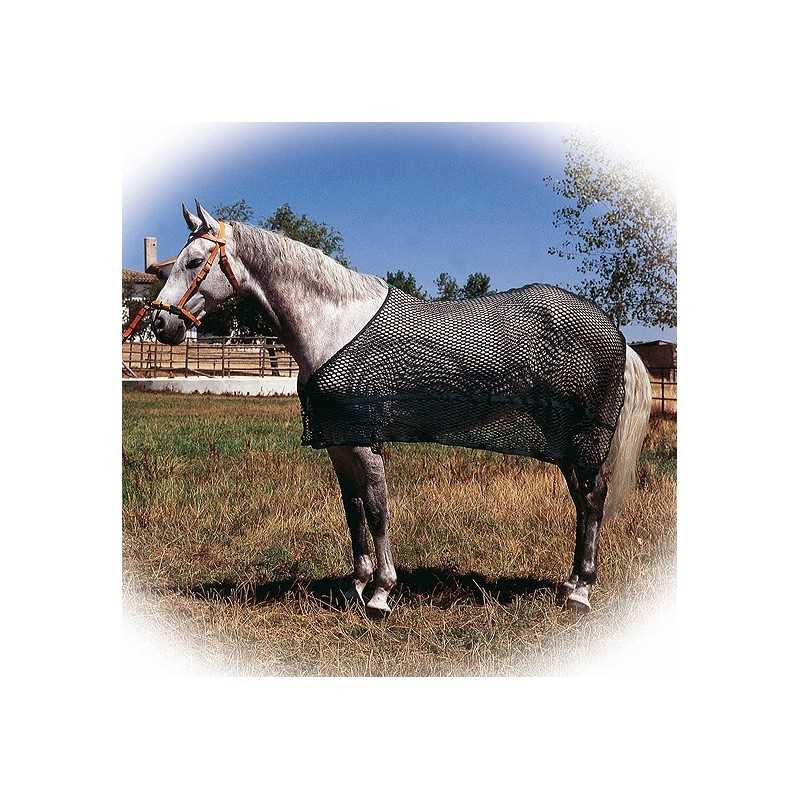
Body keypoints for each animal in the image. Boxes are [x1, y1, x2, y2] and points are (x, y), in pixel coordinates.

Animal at [150, 201, 651, 617]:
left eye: (193, 261)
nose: (160, 323)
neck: (334, 325)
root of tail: (615, 330)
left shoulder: (367, 444)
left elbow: (377, 510)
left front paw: (380, 594)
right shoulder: (340, 443)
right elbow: (352, 510)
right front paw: (356, 585)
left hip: (582, 441)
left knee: (592, 499)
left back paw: (582, 592)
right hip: (564, 444)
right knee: (584, 502)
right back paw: (570, 584)